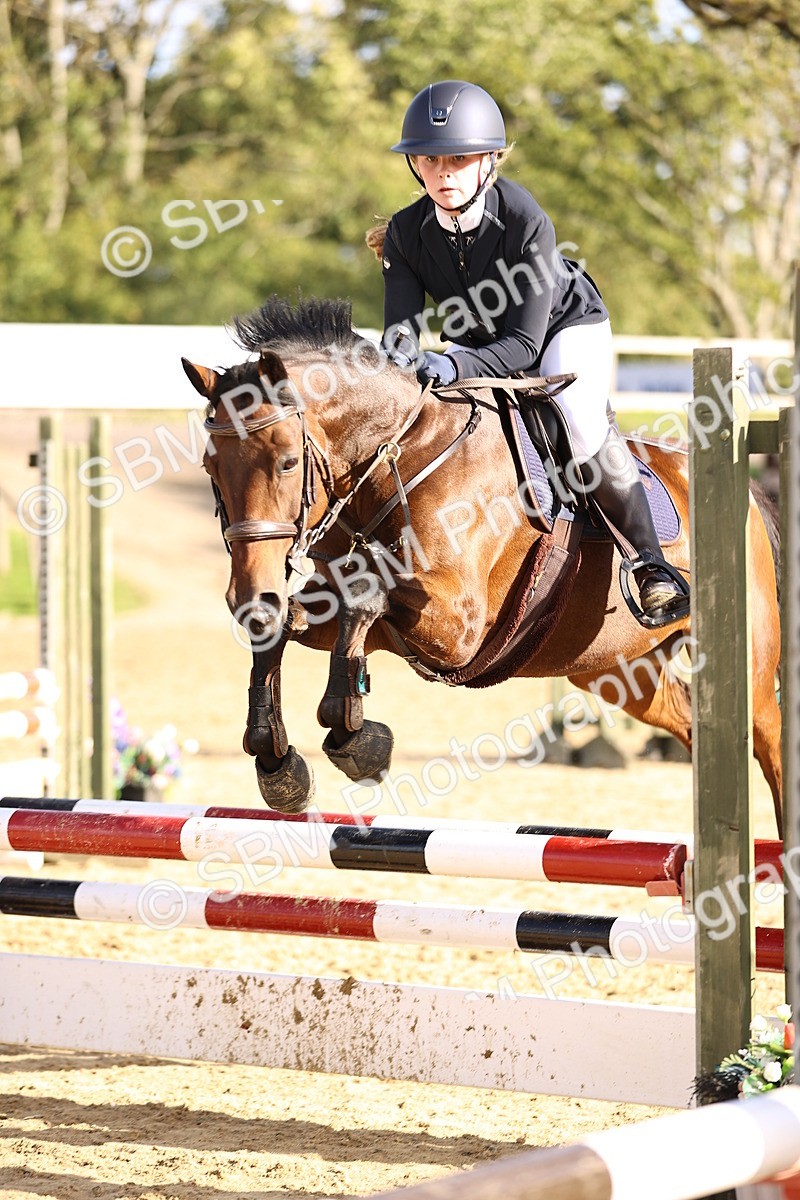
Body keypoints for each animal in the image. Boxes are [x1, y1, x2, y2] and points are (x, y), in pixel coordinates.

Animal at [182, 296, 782, 831]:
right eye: (211, 468)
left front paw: (356, 738)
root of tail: (750, 495)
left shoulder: (459, 626)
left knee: (771, 744)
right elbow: (294, 625)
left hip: (747, 668)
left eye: (287, 462)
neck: (403, 456)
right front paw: (277, 759)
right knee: (693, 725)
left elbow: (363, 597)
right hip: (618, 671)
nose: (248, 597)